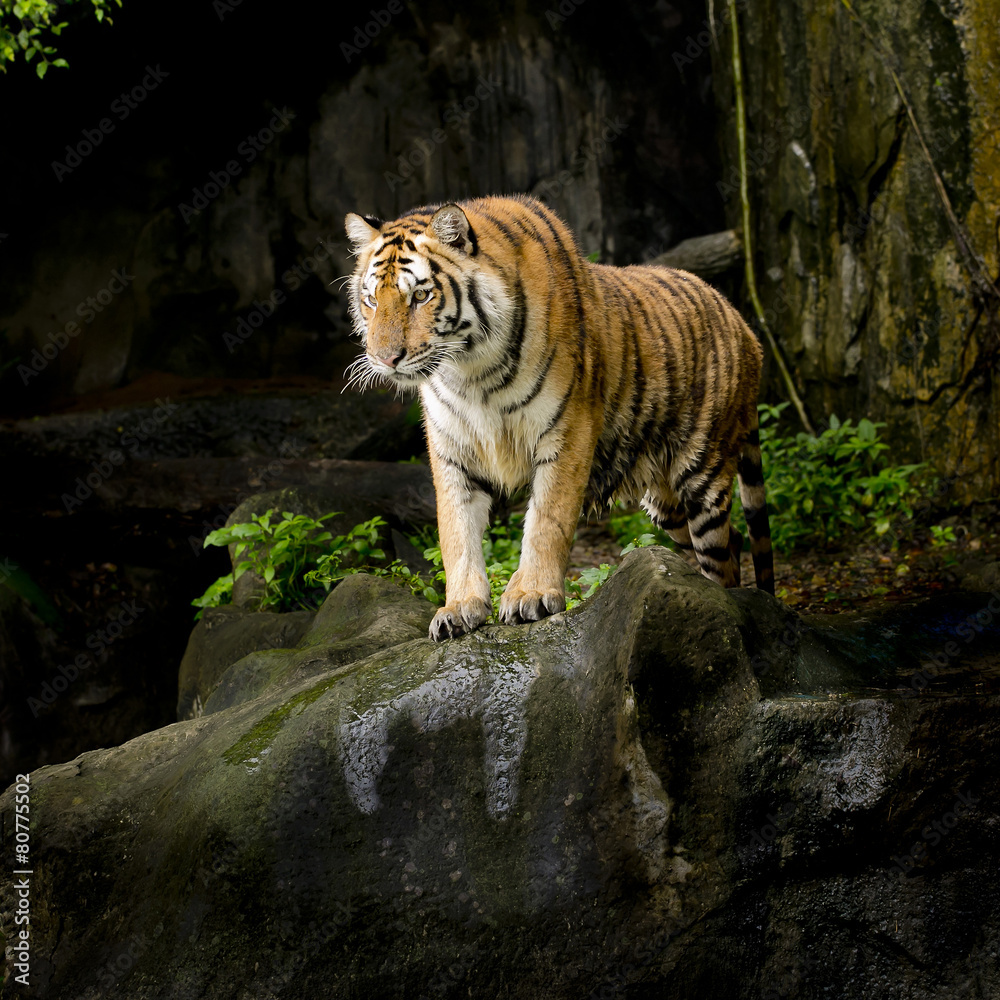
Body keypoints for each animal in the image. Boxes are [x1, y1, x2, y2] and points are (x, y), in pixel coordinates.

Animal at [344, 194, 774, 641]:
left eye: (421, 296)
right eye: (371, 299)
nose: (384, 359)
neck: (472, 371)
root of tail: (745, 326)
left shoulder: (568, 431)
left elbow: (547, 520)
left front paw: (531, 595)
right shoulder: (452, 449)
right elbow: (456, 533)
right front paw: (459, 608)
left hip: (702, 475)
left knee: (722, 557)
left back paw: (728, 611)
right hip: (666, 505)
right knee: (734, 540)